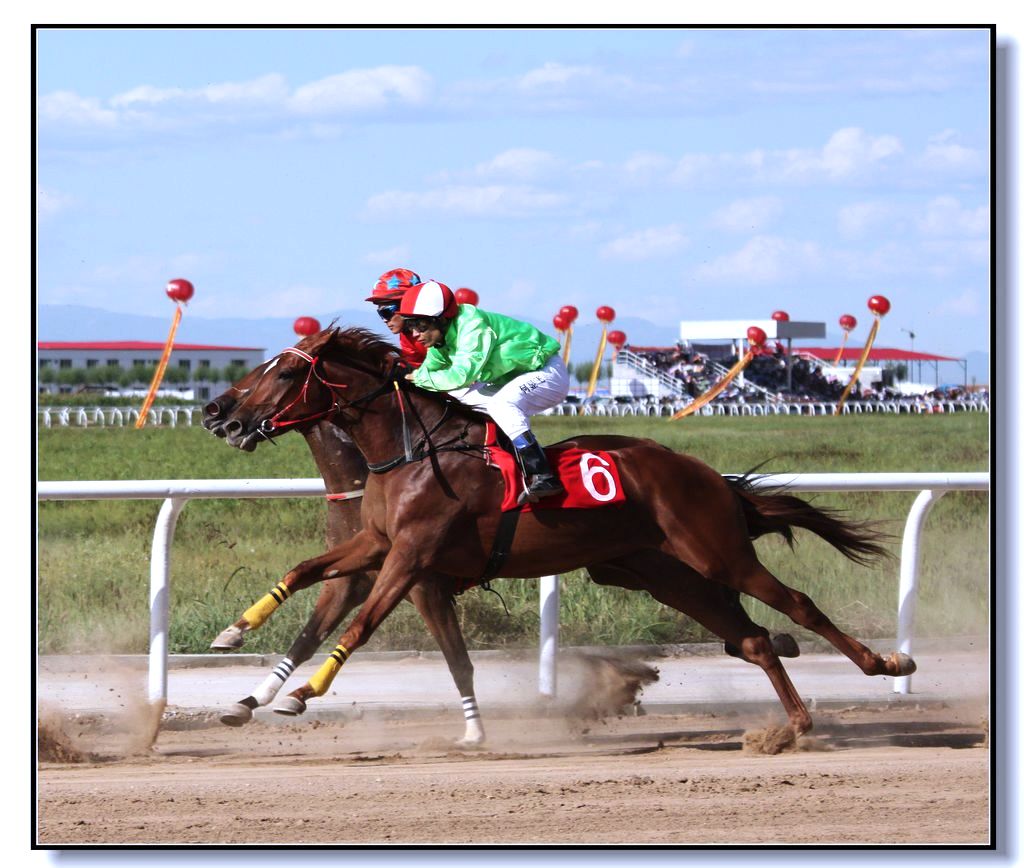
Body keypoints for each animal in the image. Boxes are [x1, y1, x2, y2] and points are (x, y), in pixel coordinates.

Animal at [201, 329, 913, 736]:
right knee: (754, 637)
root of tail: (704, 472)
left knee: (796, 604)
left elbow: (364, 624)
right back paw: (791, 722)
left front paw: (302, 694)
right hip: (662, 572)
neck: (405, 451)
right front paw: (234, 640)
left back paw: (884, 664)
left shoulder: (411, 559)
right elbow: (303, 576)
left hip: (717, 553)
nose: (219, 414)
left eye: (284, 373)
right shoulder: (378, 547)